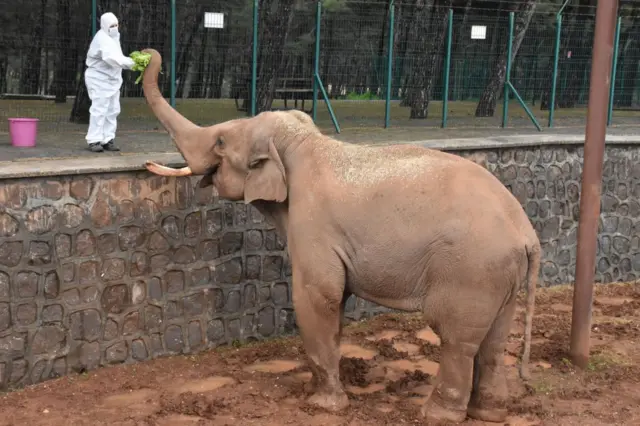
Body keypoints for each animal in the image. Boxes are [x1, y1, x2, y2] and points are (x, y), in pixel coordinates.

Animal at [139, 48, 540, 424]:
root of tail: (527, 234)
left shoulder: (314, 223)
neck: (302, 142)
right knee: (494, 341)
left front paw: (323, 405)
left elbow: (318, 296)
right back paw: (489, 414)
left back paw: (437, 415)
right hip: (502, 277)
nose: (145, 54)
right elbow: (336, 301)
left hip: (470, 272)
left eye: (221, 142)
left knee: (457, 339)